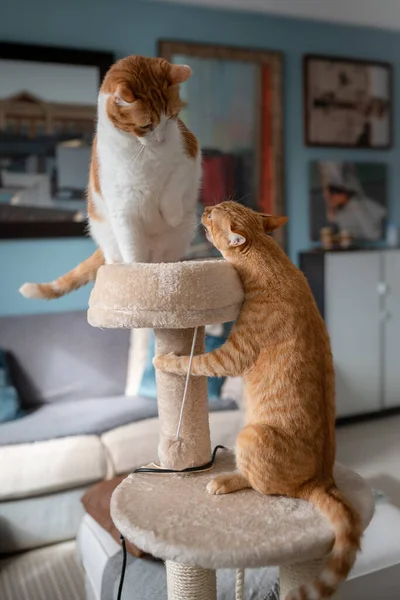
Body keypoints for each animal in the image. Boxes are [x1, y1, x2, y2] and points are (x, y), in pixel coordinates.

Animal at [19, 56, 200, 300]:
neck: (144, 150)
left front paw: (171, 214)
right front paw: (139, 280)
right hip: (109, 239)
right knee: (117, 258)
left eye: (172, 116)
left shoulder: (190, 154)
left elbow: (174, 183)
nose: (161, 139)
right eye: (146, 126)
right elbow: (133, 253)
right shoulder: (124, 210)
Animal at [155, 202, 362, 600]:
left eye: (213, 215)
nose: (206, 206)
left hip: (251, 434)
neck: (274, 261)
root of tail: (322, 479)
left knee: (263, 486)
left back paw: (226, 481)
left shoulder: (231, 356)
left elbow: (194, 362)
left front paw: (165, 360)